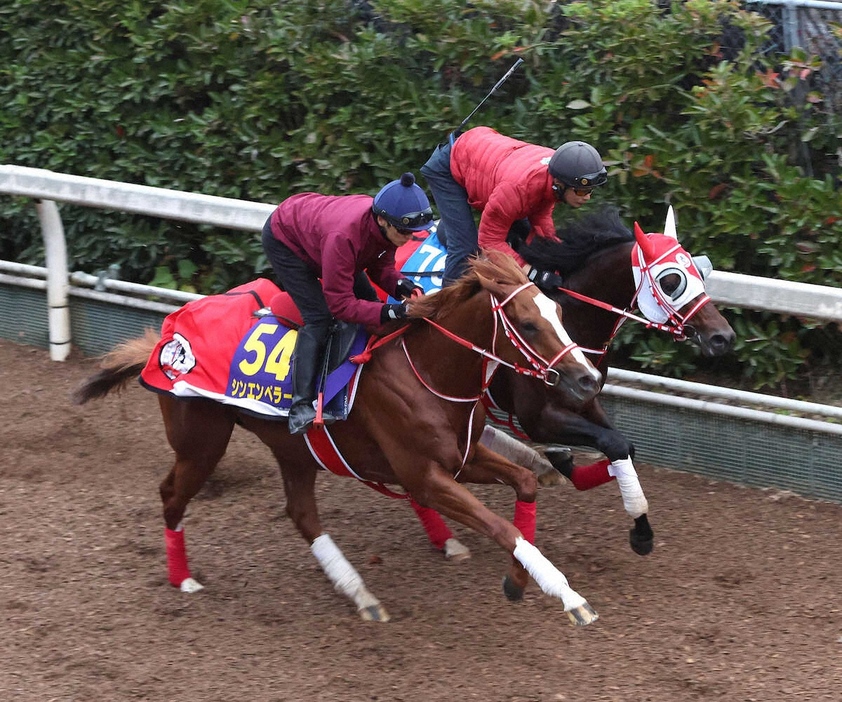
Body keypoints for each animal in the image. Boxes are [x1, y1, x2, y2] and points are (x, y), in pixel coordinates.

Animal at [69, 254, 600, 628]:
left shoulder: (461, 458)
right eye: (528, 324)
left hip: (293, 449)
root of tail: (169, 333)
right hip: (202, 442)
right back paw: (183, 579)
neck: (427, 369)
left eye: (559, 311)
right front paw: (569, 596)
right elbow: (502, 528)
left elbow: (524, 485)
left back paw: (362, 595)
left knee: (301, 514)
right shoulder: (426, 475)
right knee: (172, 495)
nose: (589, 379)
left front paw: (519, 579)